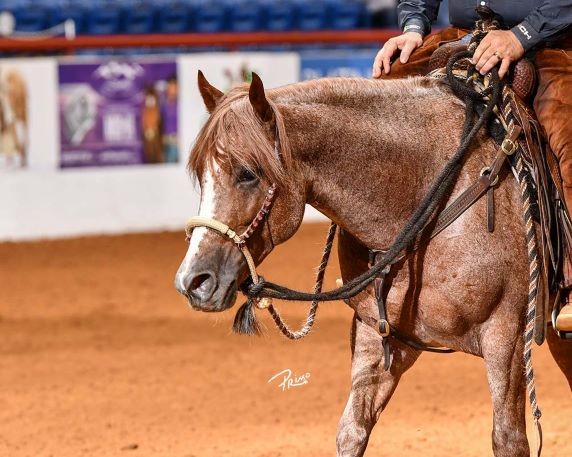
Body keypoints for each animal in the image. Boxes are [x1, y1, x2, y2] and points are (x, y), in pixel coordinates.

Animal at [175, 71, 572, 457]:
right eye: (202, 174)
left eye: (247, 173)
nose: (193, 281)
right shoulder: (381, 336)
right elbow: (352, 431)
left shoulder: (507, 337)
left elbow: (508, 440)